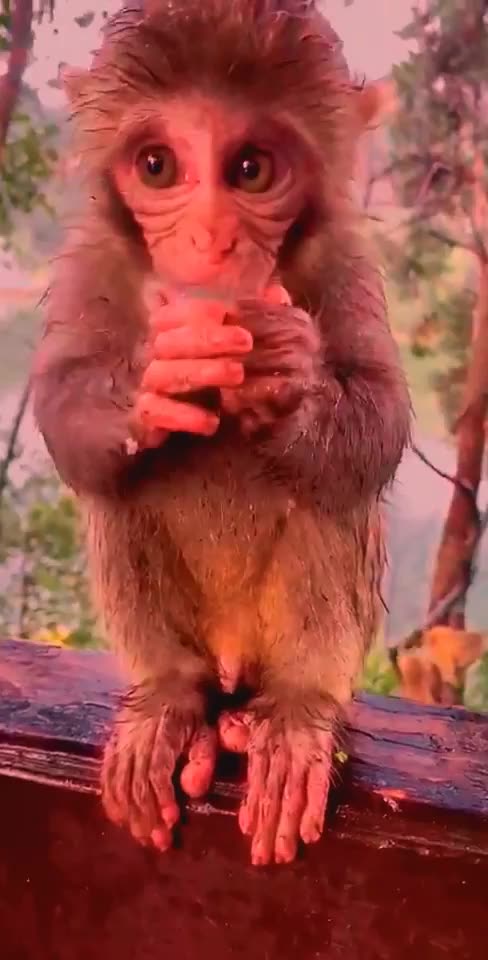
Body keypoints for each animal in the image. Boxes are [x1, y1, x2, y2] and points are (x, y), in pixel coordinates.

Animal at [31, 0, 411, 866]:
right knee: (121, 487)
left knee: (331, 492)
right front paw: (150, 381)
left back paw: (297, 714)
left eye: (250, 171)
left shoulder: (346, 258)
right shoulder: (90, 256)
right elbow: (63, 412)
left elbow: (381, 419)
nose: (208, 240)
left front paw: (294, 382)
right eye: (157, 166)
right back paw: (172, 697)